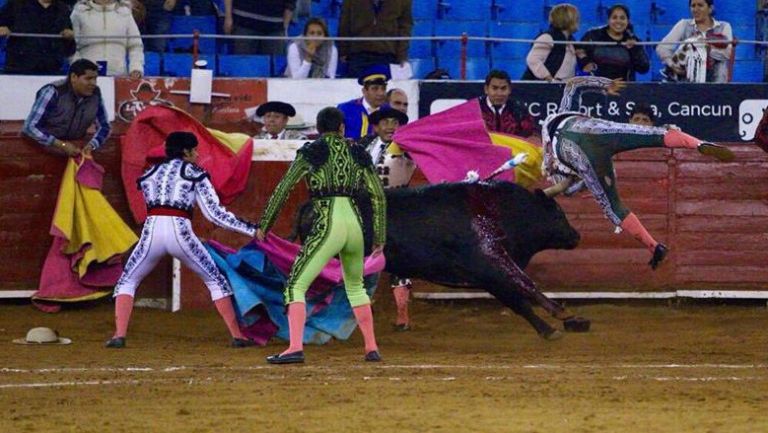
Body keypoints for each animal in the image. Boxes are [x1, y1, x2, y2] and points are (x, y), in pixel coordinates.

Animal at [292, 181, 592, 340]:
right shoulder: (489, 269)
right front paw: (553, 325)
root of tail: (310, 205)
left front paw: (566, 317)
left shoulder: (493, 271)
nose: (576, 236)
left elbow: (522, 290)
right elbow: (522, 293)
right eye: (557, 213)